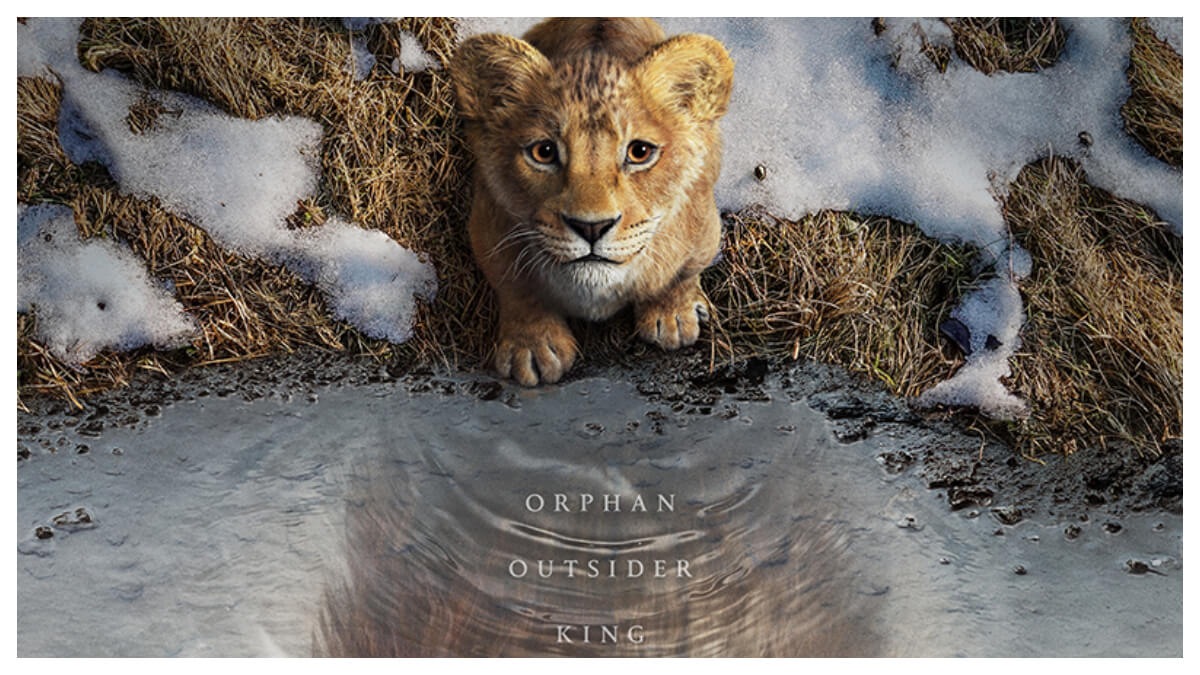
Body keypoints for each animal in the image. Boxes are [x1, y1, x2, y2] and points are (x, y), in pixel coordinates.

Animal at [450, 18, 734, 386]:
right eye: (544, 152)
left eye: (639, 152)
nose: (591, 227)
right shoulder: (488, 226)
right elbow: (516, 288)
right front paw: (533, 348)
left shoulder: (703, 229)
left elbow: (681, 274)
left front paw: (673, 316)